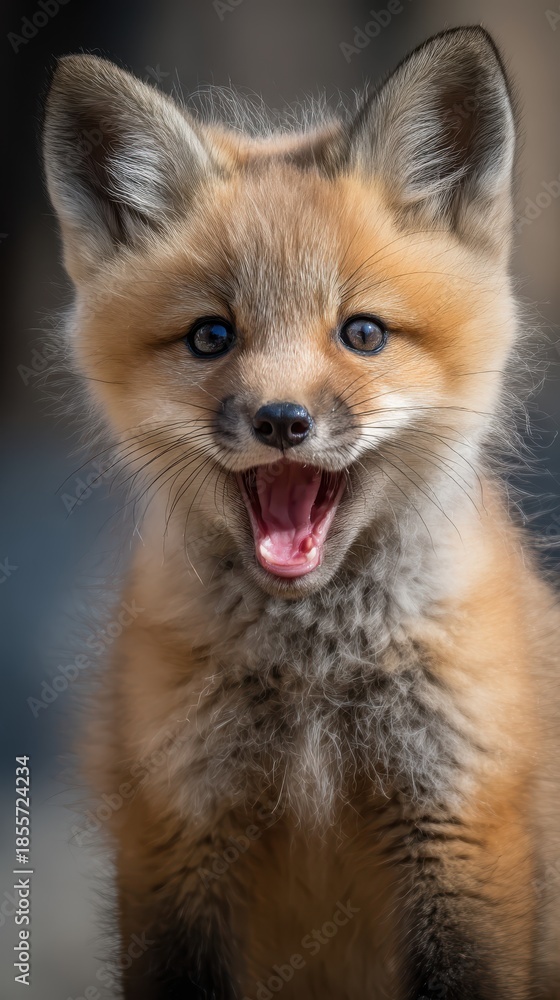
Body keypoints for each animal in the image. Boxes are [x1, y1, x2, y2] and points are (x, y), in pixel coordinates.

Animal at [43, 24, 560, 1000]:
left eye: (362, 333)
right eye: (212, 336)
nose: (282, 421)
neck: (315, 680)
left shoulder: (459, 828)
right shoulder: (179, 831)